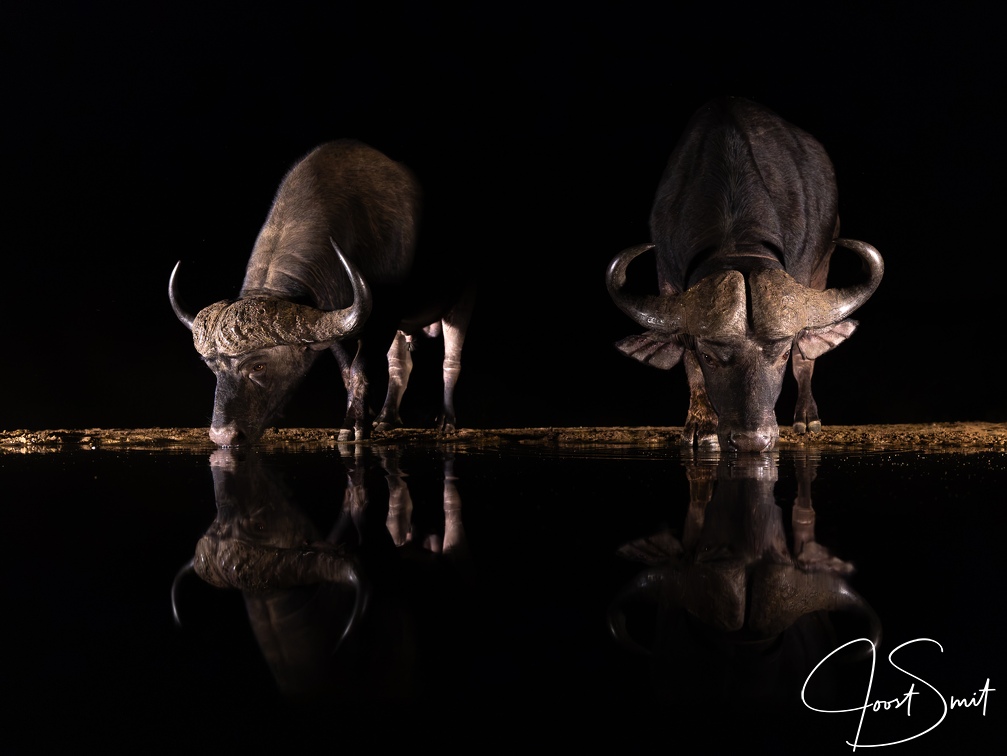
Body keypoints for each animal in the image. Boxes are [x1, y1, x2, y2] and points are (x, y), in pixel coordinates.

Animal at [170, 140, 475, 445]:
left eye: (258, 367)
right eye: (212, 368)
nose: (223, 435)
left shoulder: (383, 319)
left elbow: (360, 370)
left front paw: (356, 426)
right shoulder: (338, 326)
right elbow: (348, 373)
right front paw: (357, 419)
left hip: (461, 304)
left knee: (451, 361)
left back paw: (447, 421)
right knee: (400, 364)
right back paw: (386, 419)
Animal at [607, 97, 883, 451]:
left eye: (782, 354)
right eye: (709, 356)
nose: (752, 441)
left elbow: (802, 353)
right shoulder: (667, 279)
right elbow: (689, 363)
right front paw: (701, 425)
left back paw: (806, 417)